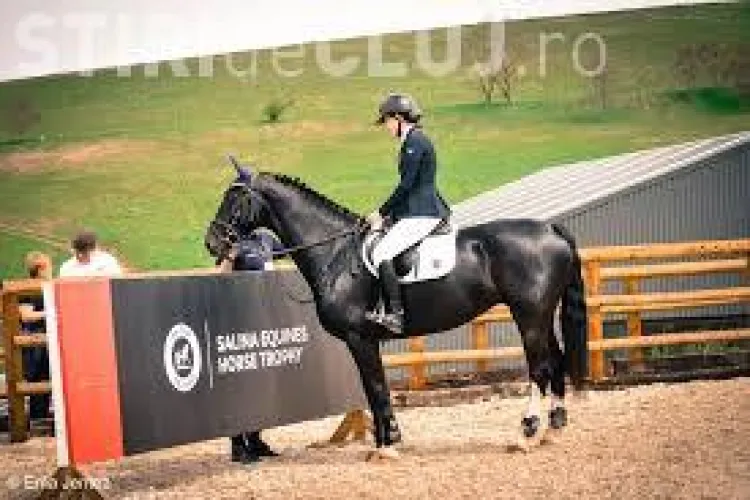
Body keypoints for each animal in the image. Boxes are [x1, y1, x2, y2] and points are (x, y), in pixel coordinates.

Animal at [204, 158, 589, 457]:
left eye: (235, 198)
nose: (211, 243)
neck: (336, 254)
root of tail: (550, 228)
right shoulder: (367, 339)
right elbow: (376, 388)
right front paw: (388, 439)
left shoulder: (358, 338)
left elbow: (375, 387)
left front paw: (386, 446)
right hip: (541, 314)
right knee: (556, 361)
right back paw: (553, 427)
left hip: (529, 315)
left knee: (540, 367)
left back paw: (527, 432)